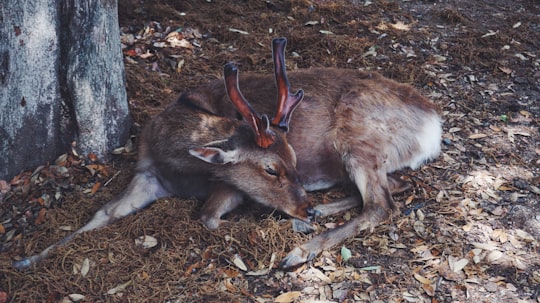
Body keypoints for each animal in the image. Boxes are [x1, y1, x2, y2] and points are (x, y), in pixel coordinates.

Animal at [13, 36, 442, 272]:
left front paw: (289, 225)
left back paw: (300, 246)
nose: (304, 207)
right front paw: (26, 261)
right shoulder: (147, 173)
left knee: (381, 204)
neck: (177, 161)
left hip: (357, 140)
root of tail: (433, 124)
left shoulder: (227, 183)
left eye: (295, 161)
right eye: (272, 169)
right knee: (396, 186)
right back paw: (316, 214)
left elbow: (206, 216)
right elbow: (102, 213)